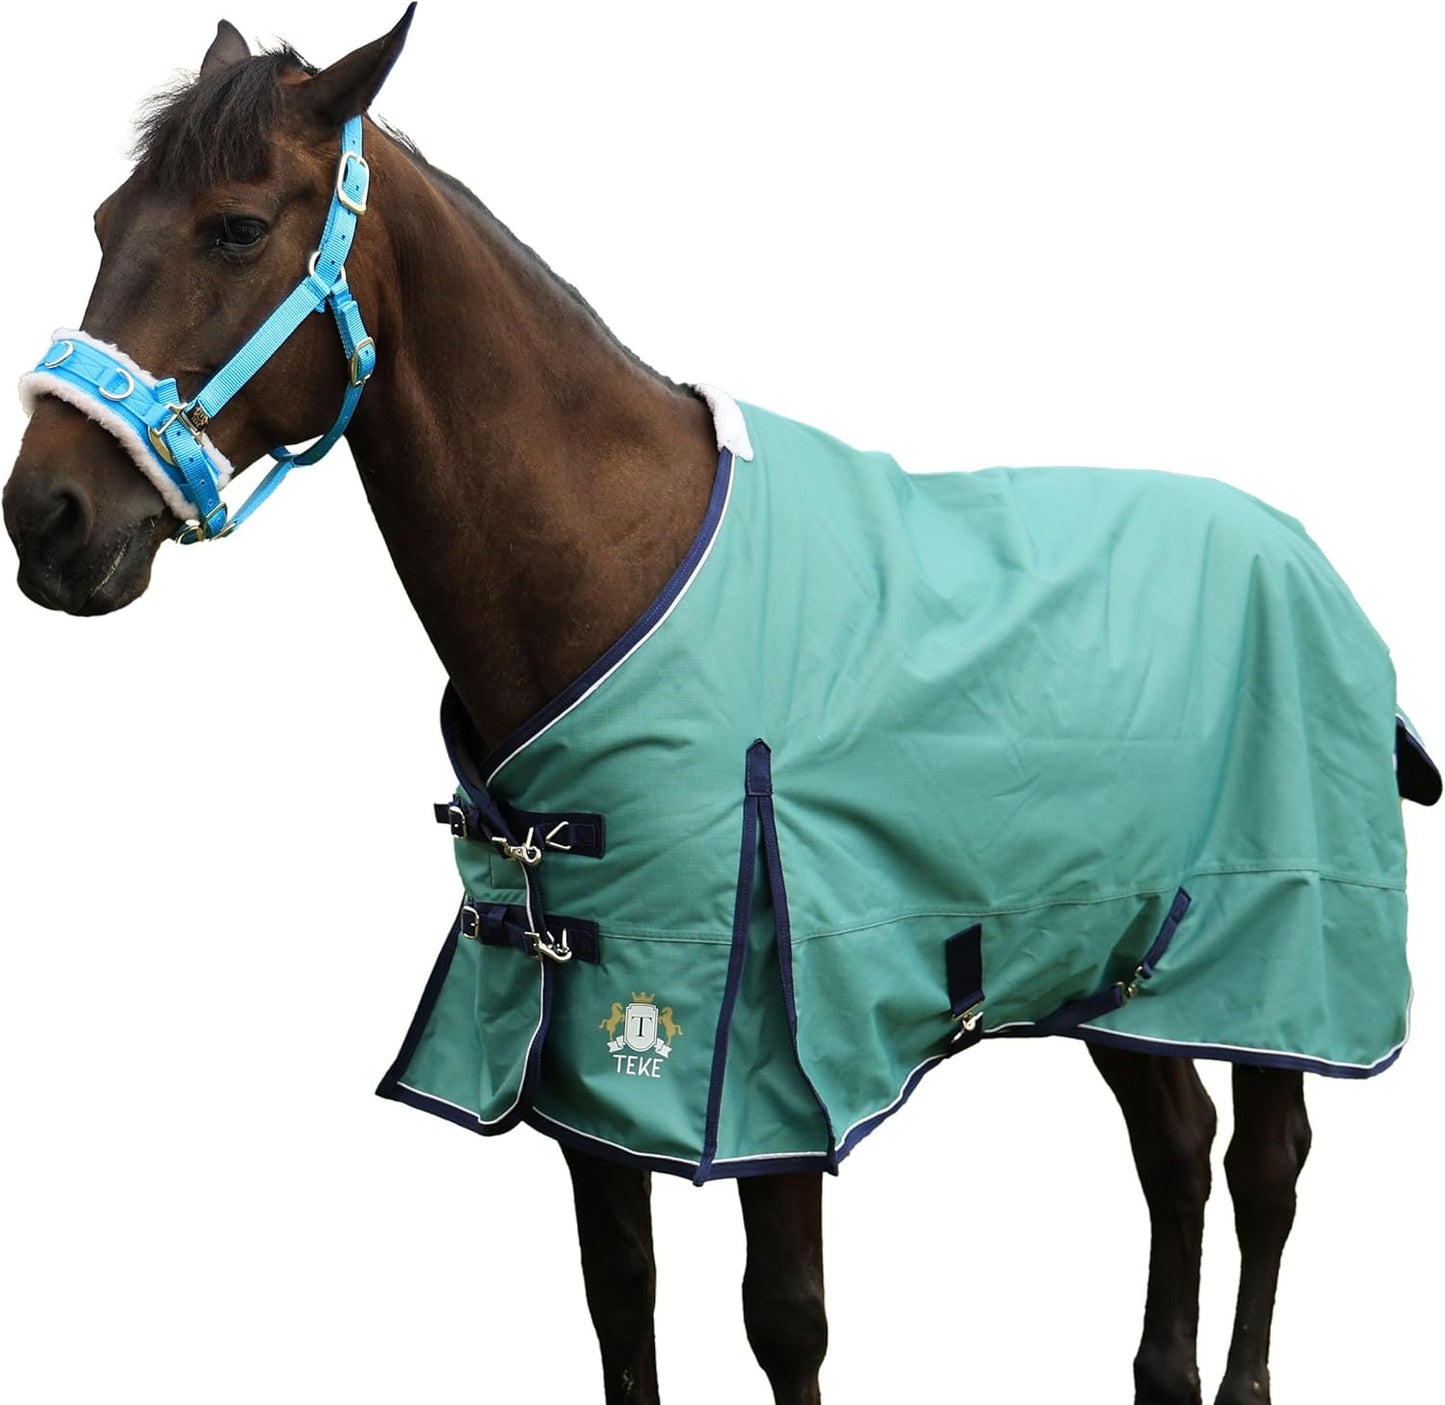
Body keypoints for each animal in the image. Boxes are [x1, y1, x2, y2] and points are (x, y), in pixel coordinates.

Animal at [3, 11, 1436, 1404]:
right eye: (101, 222)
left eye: (236, 227)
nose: (47, 517)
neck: (613, 563)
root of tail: (1306, 554)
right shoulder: (578, 1060)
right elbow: (618, 1305)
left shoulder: (768, 1068)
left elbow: (784, 1320)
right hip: (1124, 960)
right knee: (1176, 1151)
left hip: (1273, 954)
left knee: (1262, 1167)